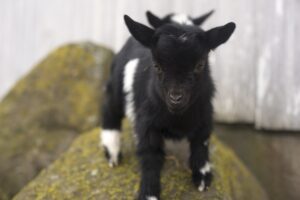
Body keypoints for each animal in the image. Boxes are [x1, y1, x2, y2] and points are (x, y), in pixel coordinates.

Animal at [99, 12, 236, 200]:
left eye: (200, 65)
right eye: (157, 66)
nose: (176, 98)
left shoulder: (205, 115)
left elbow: (201, 143)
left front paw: (203, 177)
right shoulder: (147, 124)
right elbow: (151, 157)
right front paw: (149, 193)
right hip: (116, 86)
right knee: (109, 109)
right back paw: (112, 151)